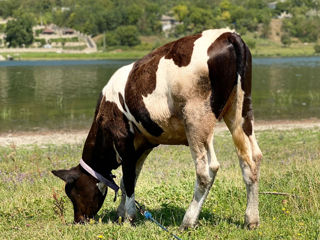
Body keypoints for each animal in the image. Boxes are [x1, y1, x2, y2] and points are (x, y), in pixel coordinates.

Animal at [52, 29, 262, 230]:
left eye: (73, 192)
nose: (79, 220)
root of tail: (227, 34)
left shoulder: (123, 138)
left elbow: (129, 179)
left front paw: (128, 217)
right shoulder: (143, 143)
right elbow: (129, 179)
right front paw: (121, 213)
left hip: (196, 119)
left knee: (207, 170)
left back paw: (188, 222)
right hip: (241, 110)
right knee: (252, 159)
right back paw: (251, 220)